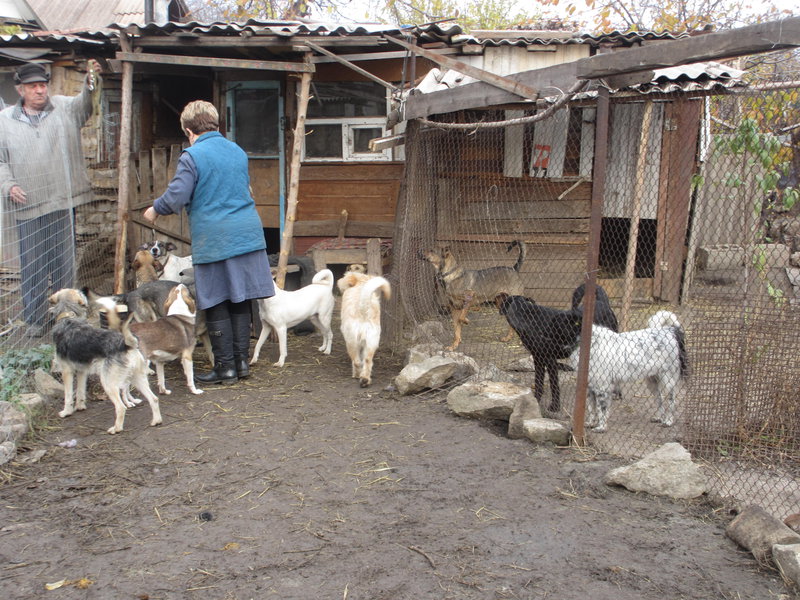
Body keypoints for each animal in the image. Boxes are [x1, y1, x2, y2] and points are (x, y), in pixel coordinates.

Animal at [48, 288, 162, 434]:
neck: (69, 316)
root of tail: (126, 344)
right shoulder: (82, 371)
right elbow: (80, 391)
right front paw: (80, 407)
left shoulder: (67, 371)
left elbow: (68, 396)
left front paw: (66, 412)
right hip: (138, 378)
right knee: (154, 399)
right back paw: (156, 421)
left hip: (108, 384)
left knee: (121, 407)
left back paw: (116, 429)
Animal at [564, 312, 692, 434]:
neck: (590, 342)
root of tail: (670, 330)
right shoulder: (590, 387)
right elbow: (591, 408)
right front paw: (590, 423)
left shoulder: (602, 387)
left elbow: (601, 410)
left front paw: (601, 427)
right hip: (652, 382)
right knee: (659, 399)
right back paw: (660, 418)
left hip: (668, 381)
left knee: (671, 401)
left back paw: (668, 421)